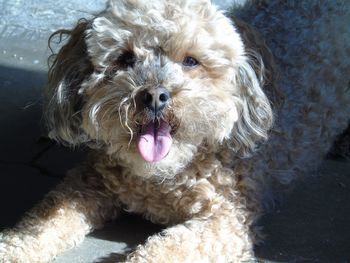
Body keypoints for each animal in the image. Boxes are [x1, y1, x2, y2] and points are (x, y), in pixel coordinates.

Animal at [0, 0, 350, 262]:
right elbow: (45, 219)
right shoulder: (88, 181)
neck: (162, 177)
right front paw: (14, 249)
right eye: (124, 58)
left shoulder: (225, 220)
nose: (154, 95)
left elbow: (163, 249)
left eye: (191, 61)